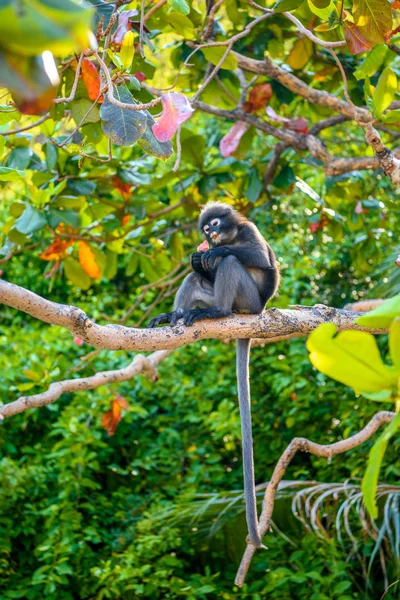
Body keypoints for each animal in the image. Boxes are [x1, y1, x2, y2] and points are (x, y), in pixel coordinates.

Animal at [148, 203, 280, 548]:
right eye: (206, 229)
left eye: (215, 224)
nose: (212, 236)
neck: (232, 236)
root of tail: (258, 311)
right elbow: (200, 267)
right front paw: (199, 256)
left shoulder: (249, 231)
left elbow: (258, 257)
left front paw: (218, 251)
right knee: (196, 278)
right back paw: (177, 315)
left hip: (247, 300)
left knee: (232, 263)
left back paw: (218, 309)